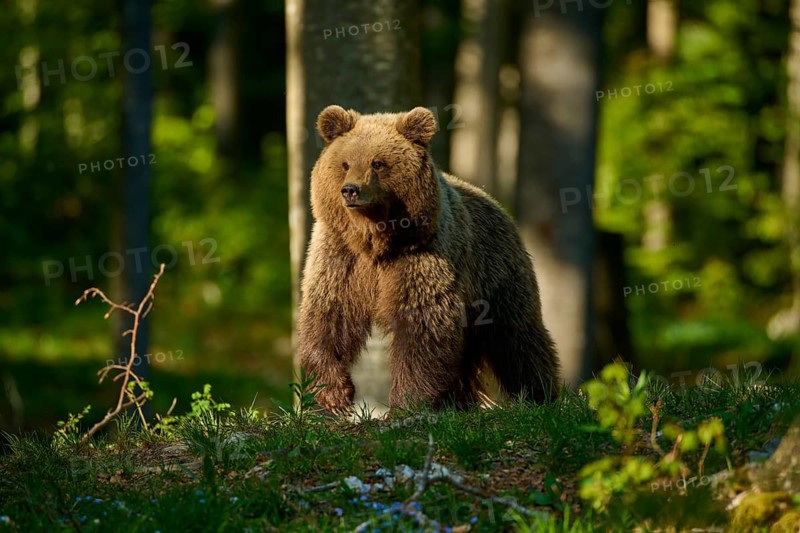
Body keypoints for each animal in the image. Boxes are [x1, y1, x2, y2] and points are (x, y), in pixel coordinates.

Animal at [297, 105, 560, 414]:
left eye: (378, 163)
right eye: (345, 163)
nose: (351, 190)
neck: (375, 240)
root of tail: (497, 204)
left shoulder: (420, 256)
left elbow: (422, 326)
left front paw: (406, 403)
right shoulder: (340, 256)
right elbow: (329, 313)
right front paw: (335, 393)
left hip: (498, 275)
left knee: (517, 336)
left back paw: (540, 394)